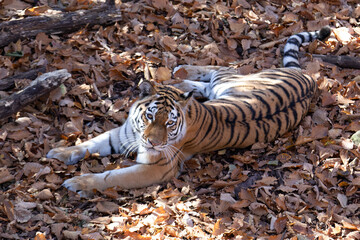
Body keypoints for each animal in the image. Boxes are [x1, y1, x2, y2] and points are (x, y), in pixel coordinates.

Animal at [47, 26, 332, 197]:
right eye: (150, 116)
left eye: (170, 124)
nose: (153, 143)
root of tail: (307, 77)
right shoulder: (122, 134)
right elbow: (88, 144)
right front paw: (59, 153)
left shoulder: (156, 168)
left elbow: (110, 177)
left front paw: (78, 183)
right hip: (225, 86)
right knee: (210, 78)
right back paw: (181, 77)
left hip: (230, 81)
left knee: (220, 69)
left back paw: (182, 73)